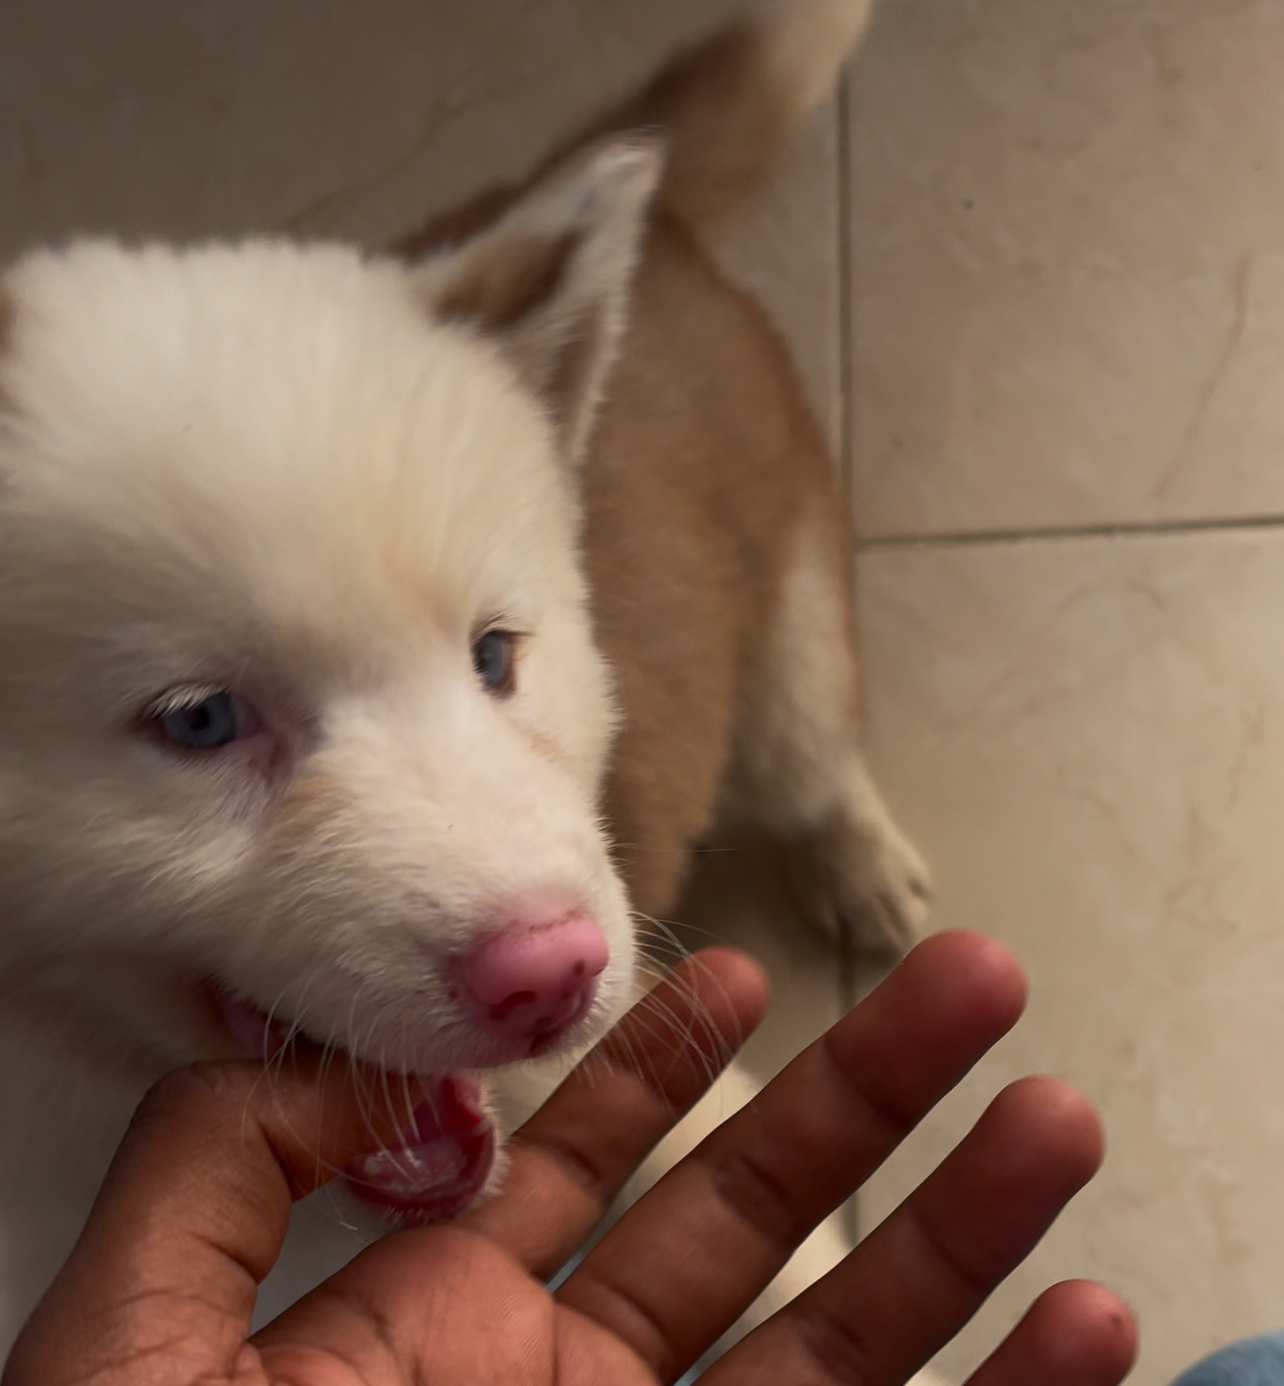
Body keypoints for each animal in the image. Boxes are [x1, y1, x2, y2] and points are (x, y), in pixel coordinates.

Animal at [0, 0, 926, 1352]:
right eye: (200, 719)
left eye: (496, 655)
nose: (551, 977)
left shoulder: (631, 1057)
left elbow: (793, 1259)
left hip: (788, 613)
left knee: (814, 753)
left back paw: (860, 868)